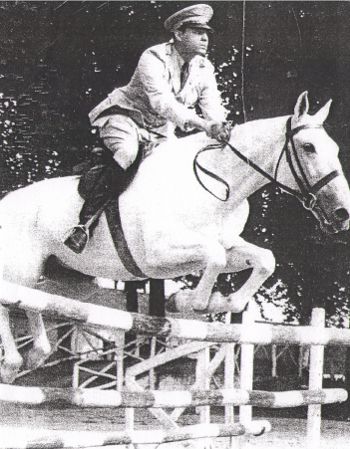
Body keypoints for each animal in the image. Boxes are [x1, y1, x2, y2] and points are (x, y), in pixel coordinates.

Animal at [0, 90, 350, 382]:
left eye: (335, 149)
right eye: (308, 147)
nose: (341, 214)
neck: (217, 185)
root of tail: (5, 201)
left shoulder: (224, 244)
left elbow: (264, 260)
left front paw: (223, 301)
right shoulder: (158, 255)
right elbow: (214, 259)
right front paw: (188, 301)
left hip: (64, 278)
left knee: (35, 301)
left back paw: (37, 353)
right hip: (22, 269)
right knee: (11, 301)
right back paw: (13, 363)